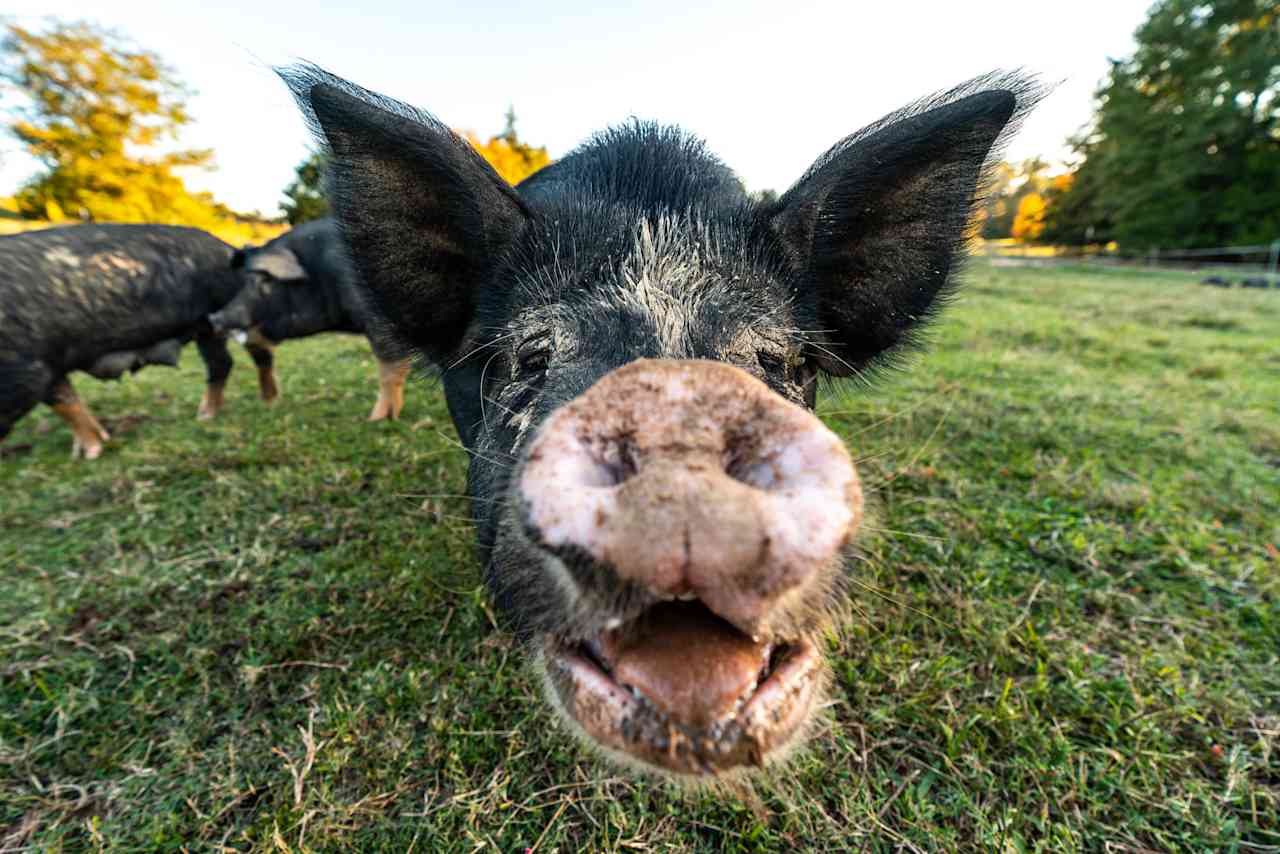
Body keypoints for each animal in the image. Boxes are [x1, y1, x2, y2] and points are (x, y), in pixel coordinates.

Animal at [1, 224, 261, 458]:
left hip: (214, 319)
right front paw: (88, 453)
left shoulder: (26, 369)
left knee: (221, 363)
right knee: (222, 362)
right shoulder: (46, 366)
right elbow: (66, 400)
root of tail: (229, 248)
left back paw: (204, 417)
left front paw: (90, 454)